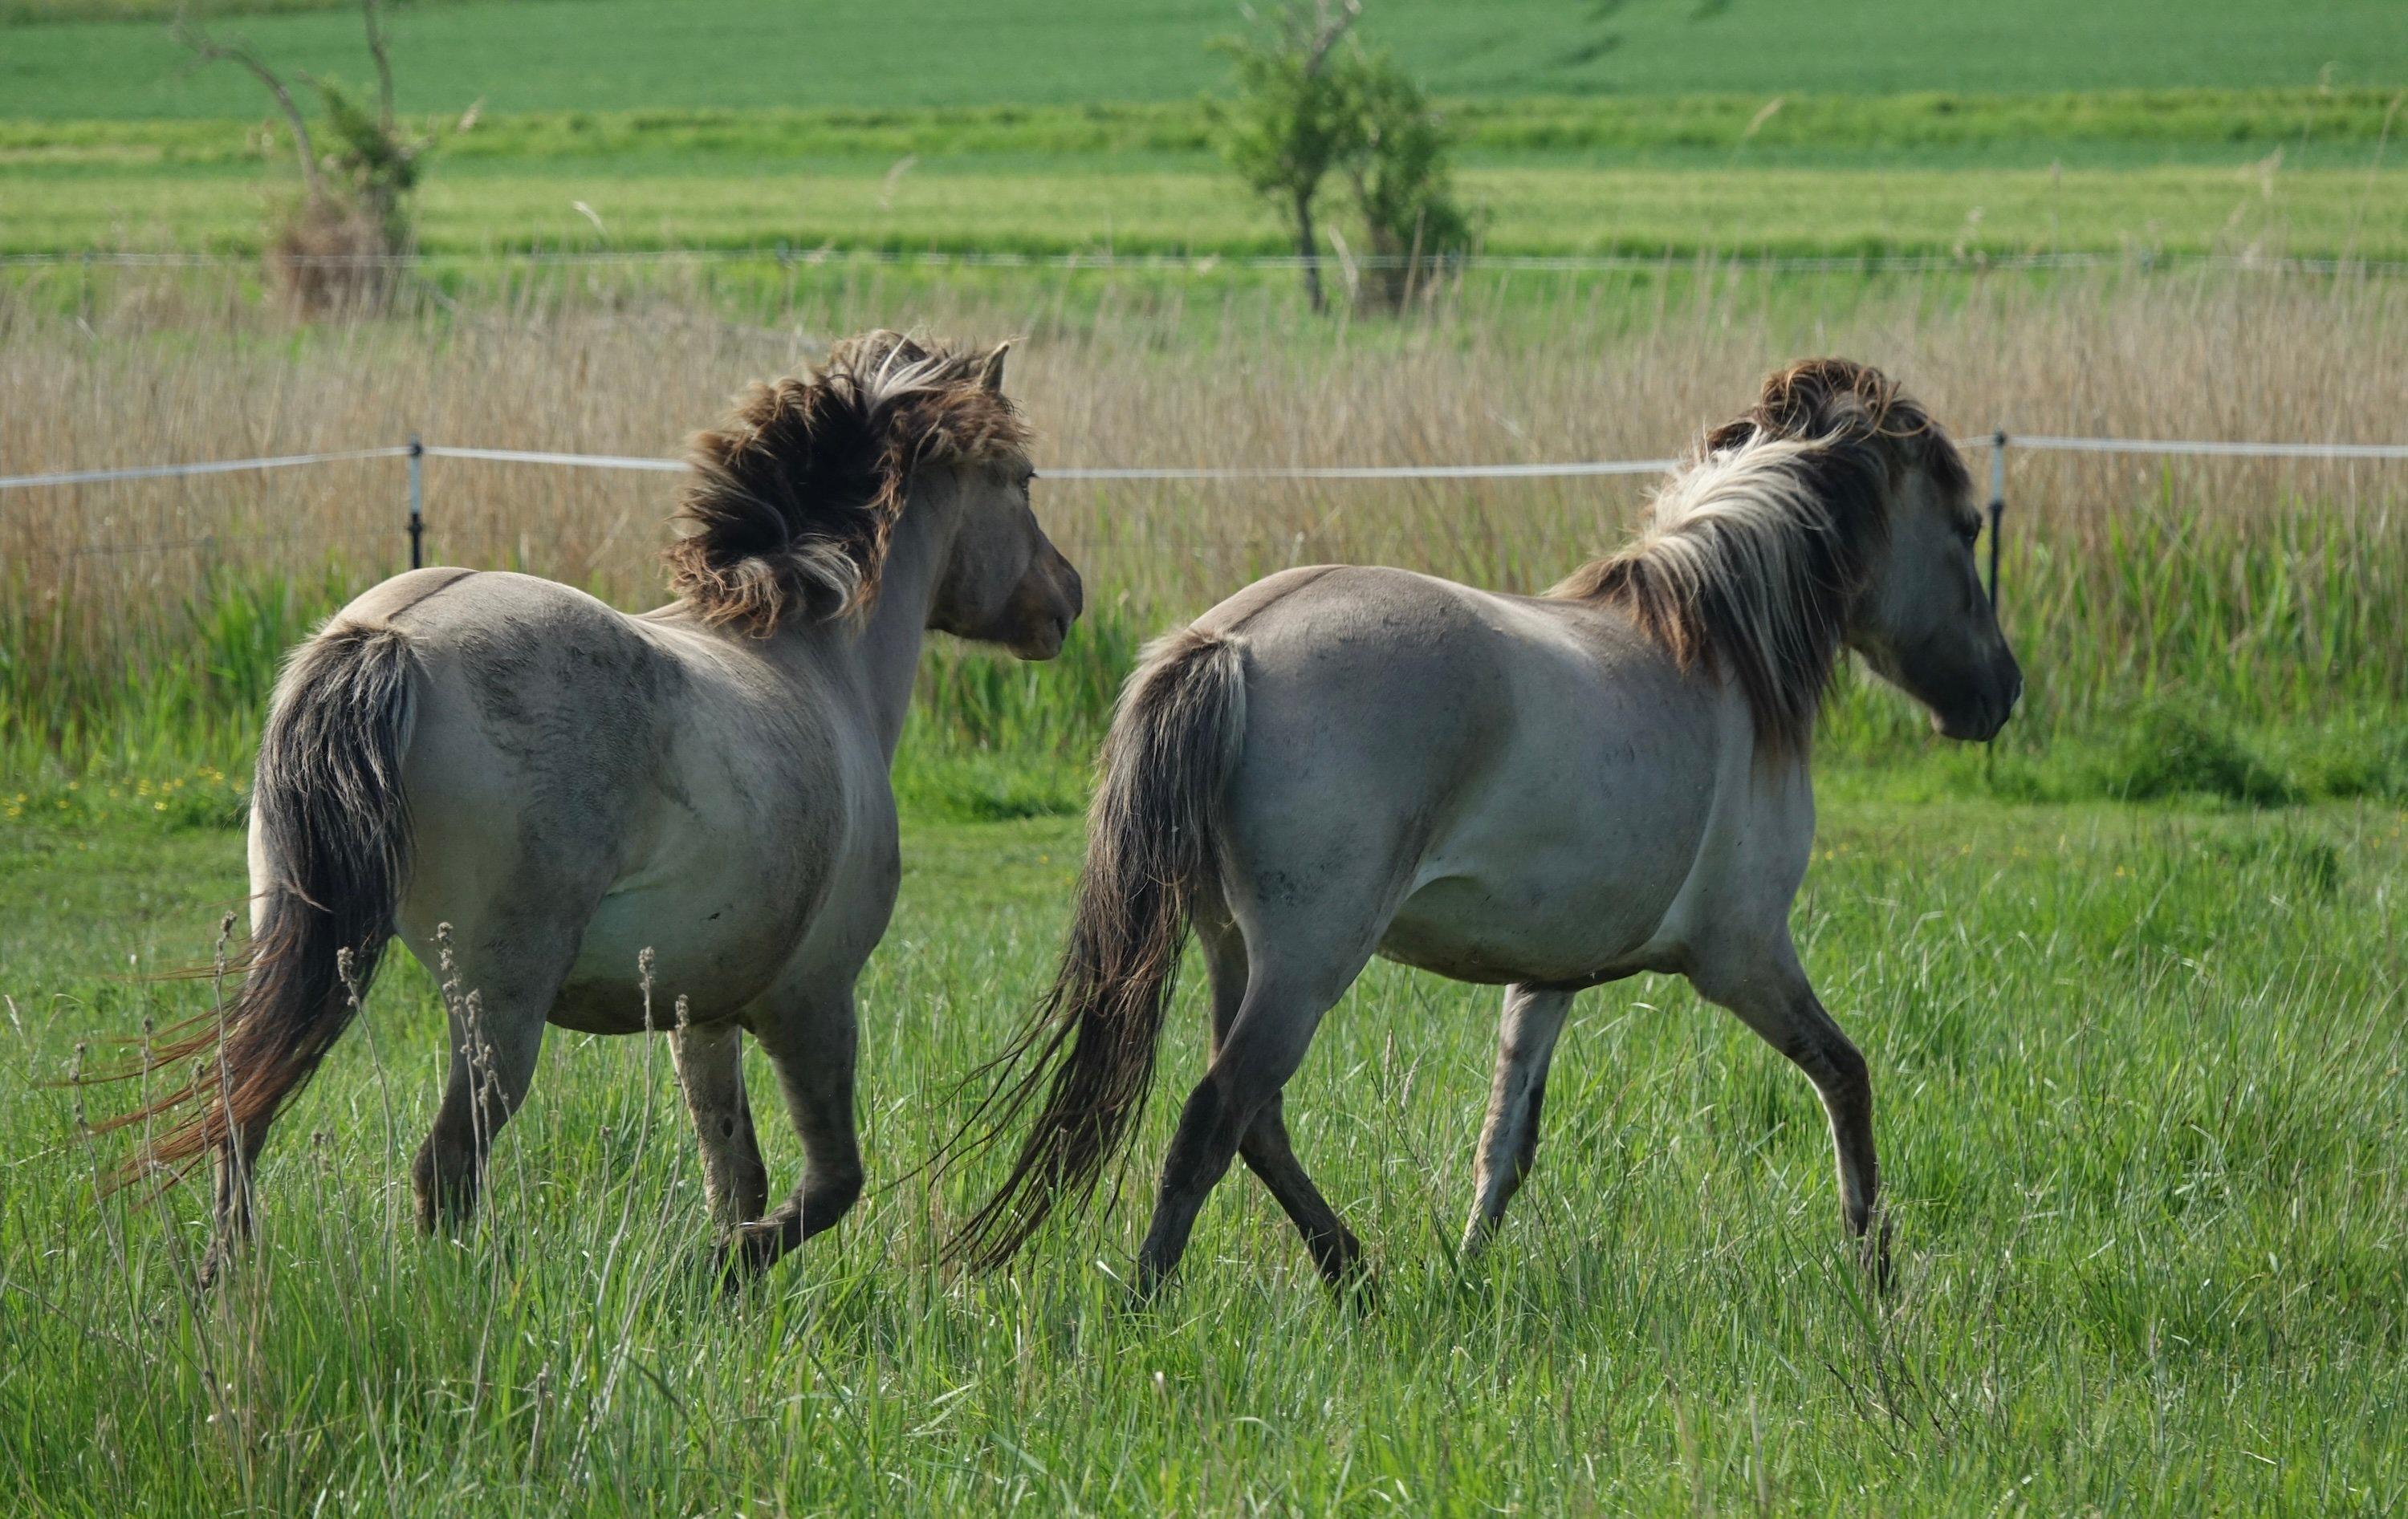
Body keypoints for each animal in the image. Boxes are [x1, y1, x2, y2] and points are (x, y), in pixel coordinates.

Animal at [116, 331, 1084, 1283]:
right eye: (1024, 478)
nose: (1068, 597)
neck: (815, 659)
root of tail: (385, 638)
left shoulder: (704, 1014)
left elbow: (736, 1171)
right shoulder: (813, 997)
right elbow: (829, 1186)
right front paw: (714, 1269)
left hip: (303, 944)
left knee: (245, 1115)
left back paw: (226, 1285)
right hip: (498, 1004)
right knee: (446, 1165)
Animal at [952, 357, 2019, 1298]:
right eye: (1966, 528)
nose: (2000, 693)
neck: (1717, 646)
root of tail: (1229, 645)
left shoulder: (1548, 977)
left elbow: (1505, 1142)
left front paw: (1468, 1278)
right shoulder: (1746, 954)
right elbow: (1847, 1076)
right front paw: (1874, 1269)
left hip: (1230, 946)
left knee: (1258, 1121)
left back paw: (1356, 1277)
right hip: (1309, 959)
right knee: (1216, 1116)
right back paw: (1148, 1304)